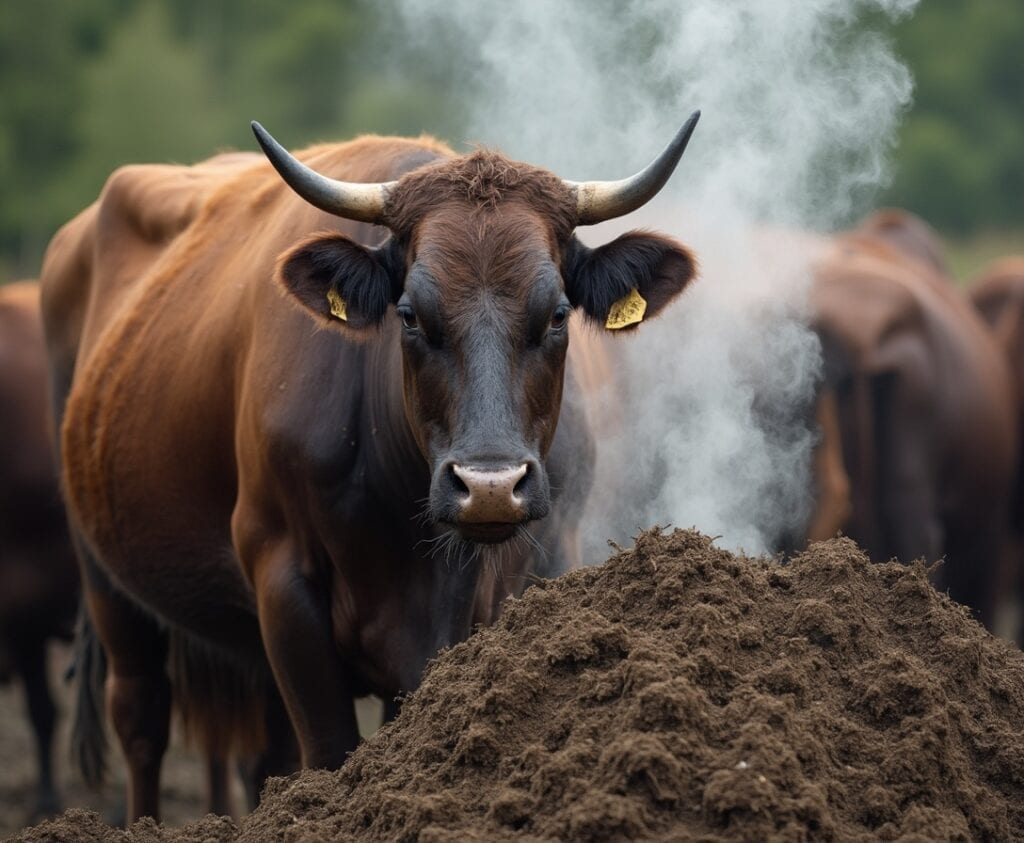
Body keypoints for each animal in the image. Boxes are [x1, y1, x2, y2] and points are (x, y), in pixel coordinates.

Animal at [41, 113, 702, 822]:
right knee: (140, 719)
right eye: (408, 315)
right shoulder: (282, 580)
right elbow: (330, 752)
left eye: (556, 315)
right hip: (104, 576)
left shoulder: (538, 565)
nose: (490, 488)